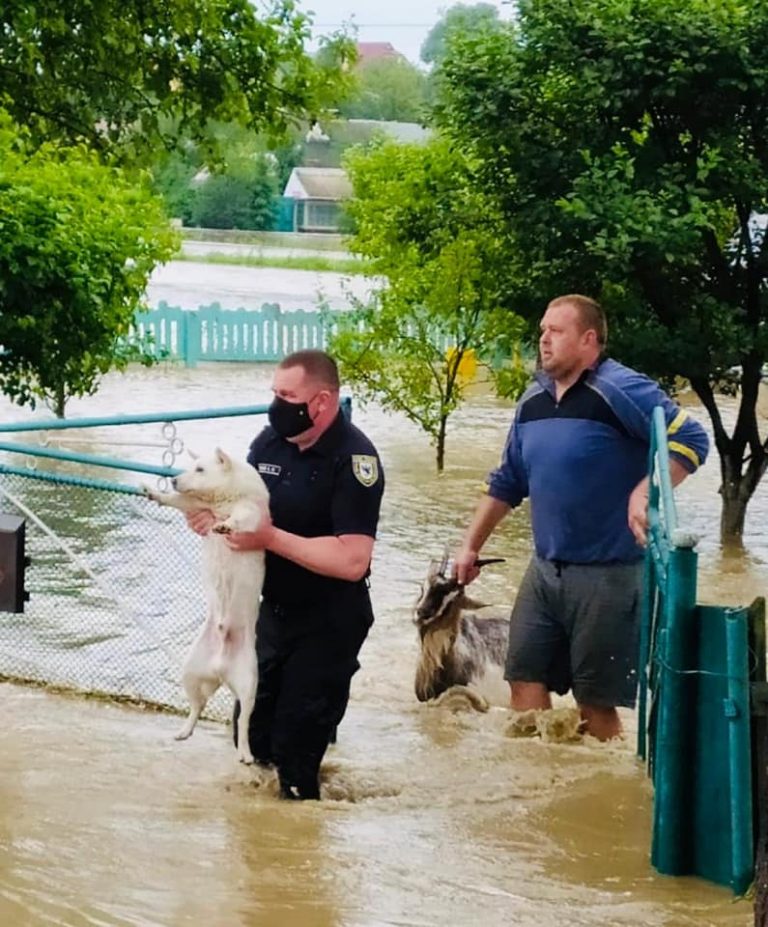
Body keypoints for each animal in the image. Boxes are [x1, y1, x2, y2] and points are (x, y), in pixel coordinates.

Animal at [146, 448, 268, 760]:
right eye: (192, 466)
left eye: (200, 469)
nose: (174, 480)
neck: (222, 498)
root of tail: (220, 668)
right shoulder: (196, 504)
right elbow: (179, 501)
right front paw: (155, 493)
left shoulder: (252, 511)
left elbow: (240, 517)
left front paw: (226, 525)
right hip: (190, 670)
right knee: (197, 705)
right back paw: (184, 730)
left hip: (250, 680)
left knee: (244, 718)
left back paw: (246, 754)